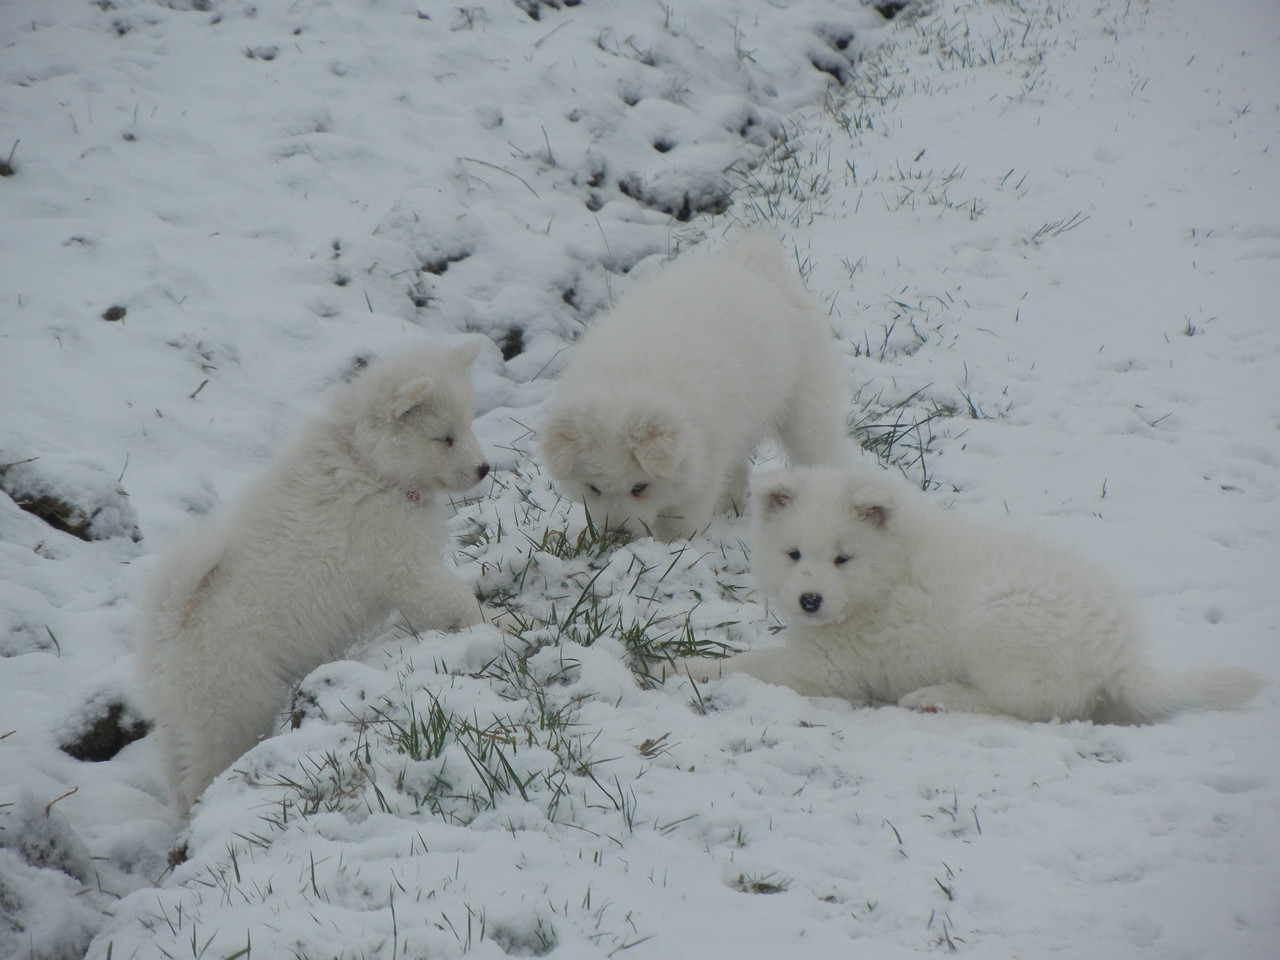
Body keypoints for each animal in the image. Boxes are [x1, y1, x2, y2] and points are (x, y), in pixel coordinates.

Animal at [137, 343, 491, 814]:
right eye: (444, 437)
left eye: (468, 426)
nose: (485, 469)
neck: (370, 466)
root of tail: (168, 629)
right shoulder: (405, 569)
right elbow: (455, 601)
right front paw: (499, 626)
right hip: (230, 711)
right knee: (203, 774)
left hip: (183, 723)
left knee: (178, 777)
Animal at [540, 232, 849, 542]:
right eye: (593, 488)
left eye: (640, 487)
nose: (617, 536)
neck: (625, 381)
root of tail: (755, 265)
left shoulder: (704, 456)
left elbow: (682, 514)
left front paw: (673, 544)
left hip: (807, 402)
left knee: (820, 447)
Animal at [706, 471, 1264, 727]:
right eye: (794, 554)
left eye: (844, 558)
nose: (810, 600)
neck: (887, 575)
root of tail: (1120, 659)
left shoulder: (832, 668)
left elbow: (748, 664)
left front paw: (689, 670)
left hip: (997, 622)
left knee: (1030, 705)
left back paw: (936, 697)